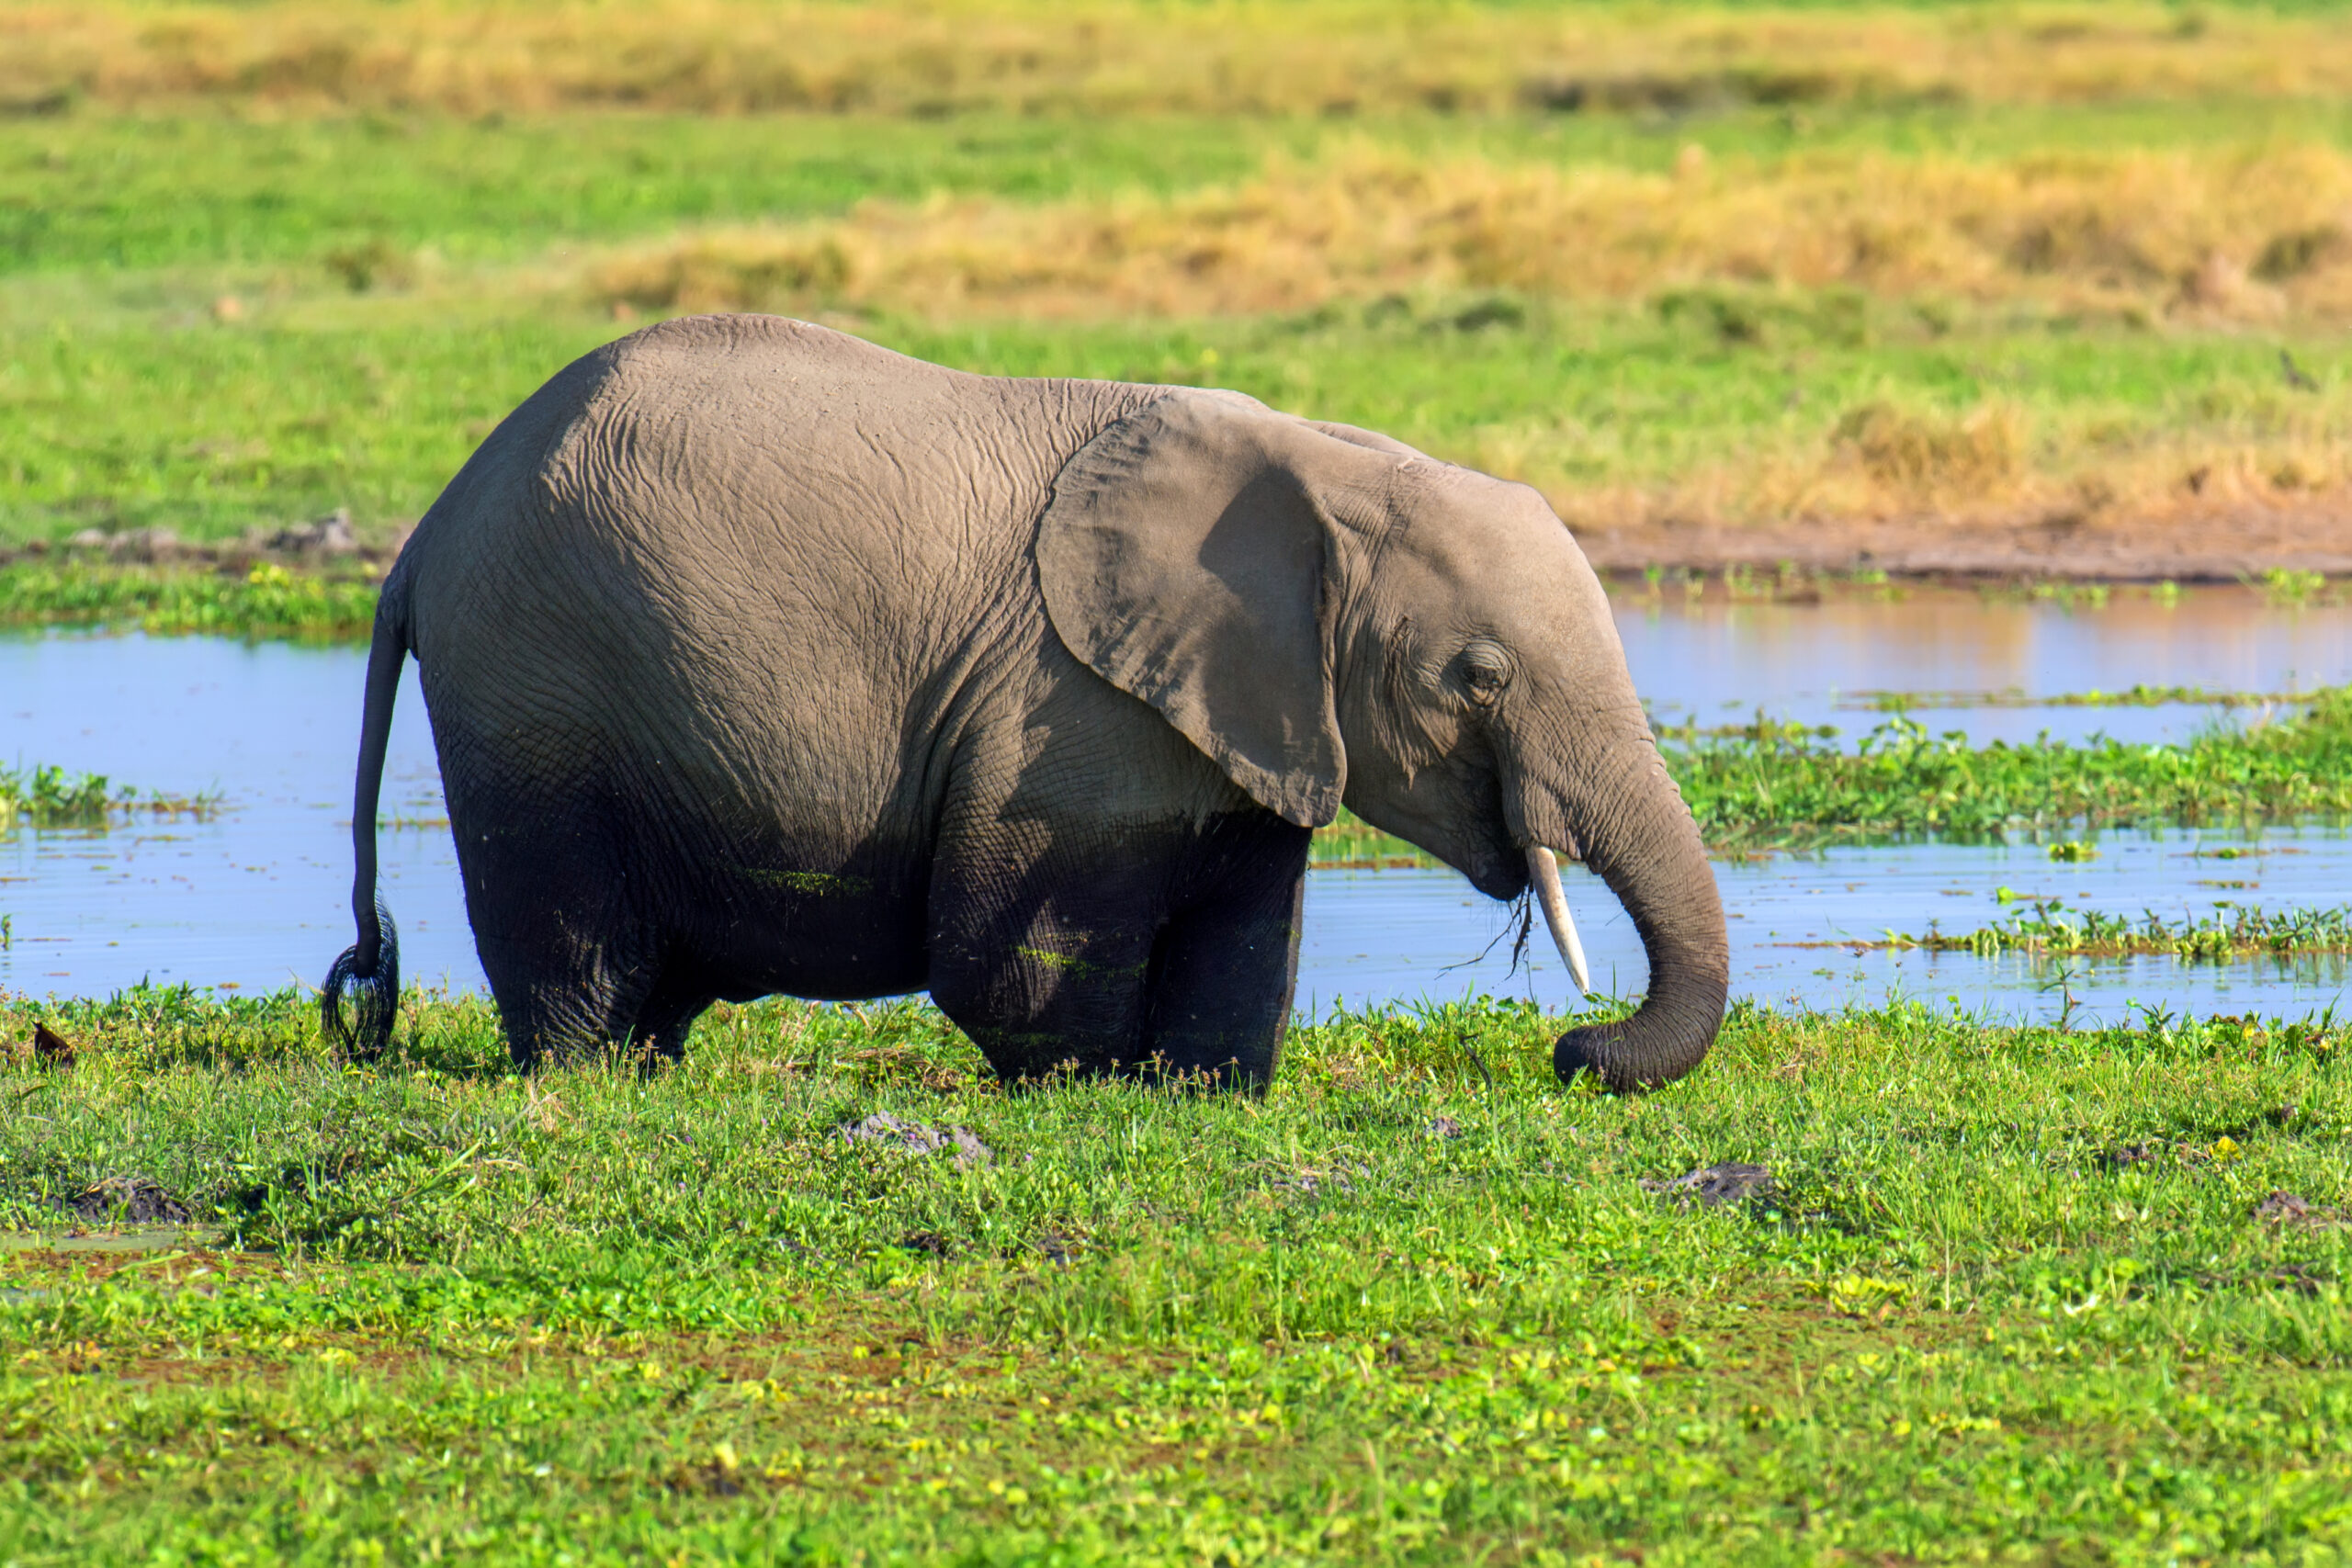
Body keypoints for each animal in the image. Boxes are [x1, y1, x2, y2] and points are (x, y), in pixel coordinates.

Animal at [323, 316, 1727, 1091]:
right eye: (1477, 676)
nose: (1572, 1050)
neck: (1325, 464)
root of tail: (424, 539)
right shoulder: (1063, 697)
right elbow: (1012, 961)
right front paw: (1088, 1097)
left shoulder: (1238, 718)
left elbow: (1243, 945)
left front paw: (1196, 1099)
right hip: (534, 692)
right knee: (567, 931)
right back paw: (599, 1076)